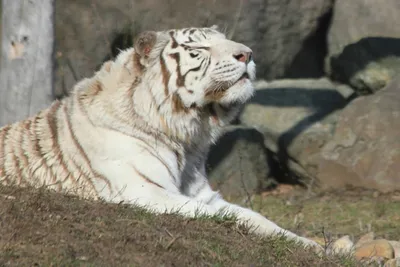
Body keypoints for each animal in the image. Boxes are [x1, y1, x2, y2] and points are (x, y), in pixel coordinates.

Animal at [0, 26, 322, 253]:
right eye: (200, 47)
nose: (248, 54)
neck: (187, 136)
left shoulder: (204, 194)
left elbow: (255, 217)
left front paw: (315, 246)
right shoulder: (143, 190)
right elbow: (214, 216)